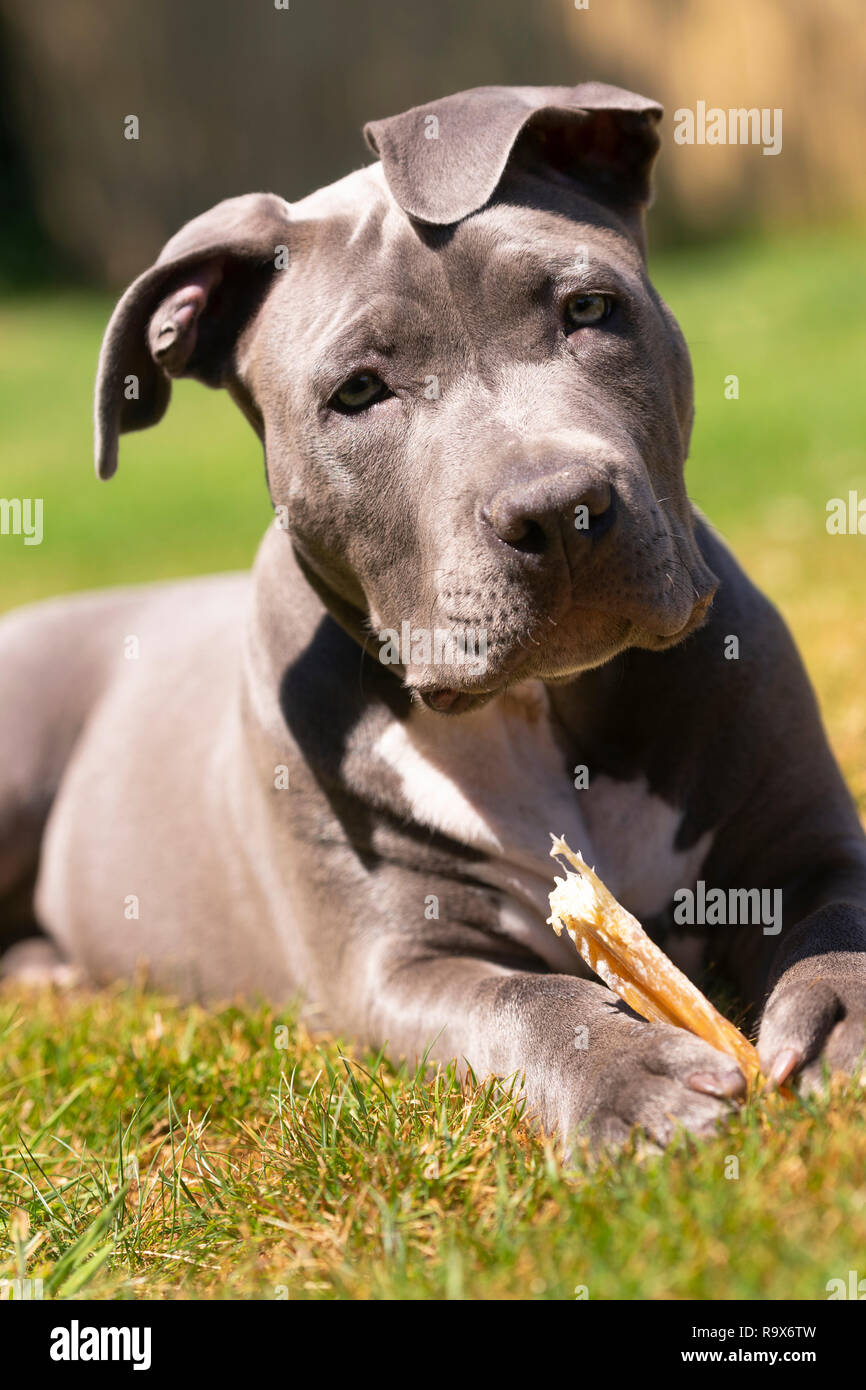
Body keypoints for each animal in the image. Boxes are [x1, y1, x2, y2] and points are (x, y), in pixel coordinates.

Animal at [1, 86, 866, 1150]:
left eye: (589, 308)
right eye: (357, 392)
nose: (559, 509)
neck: (541, 708)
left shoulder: (809, 841)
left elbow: (842, 920)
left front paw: (841, 1014)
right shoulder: (395, 964)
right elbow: (524, 1002)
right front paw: (630, 1076)